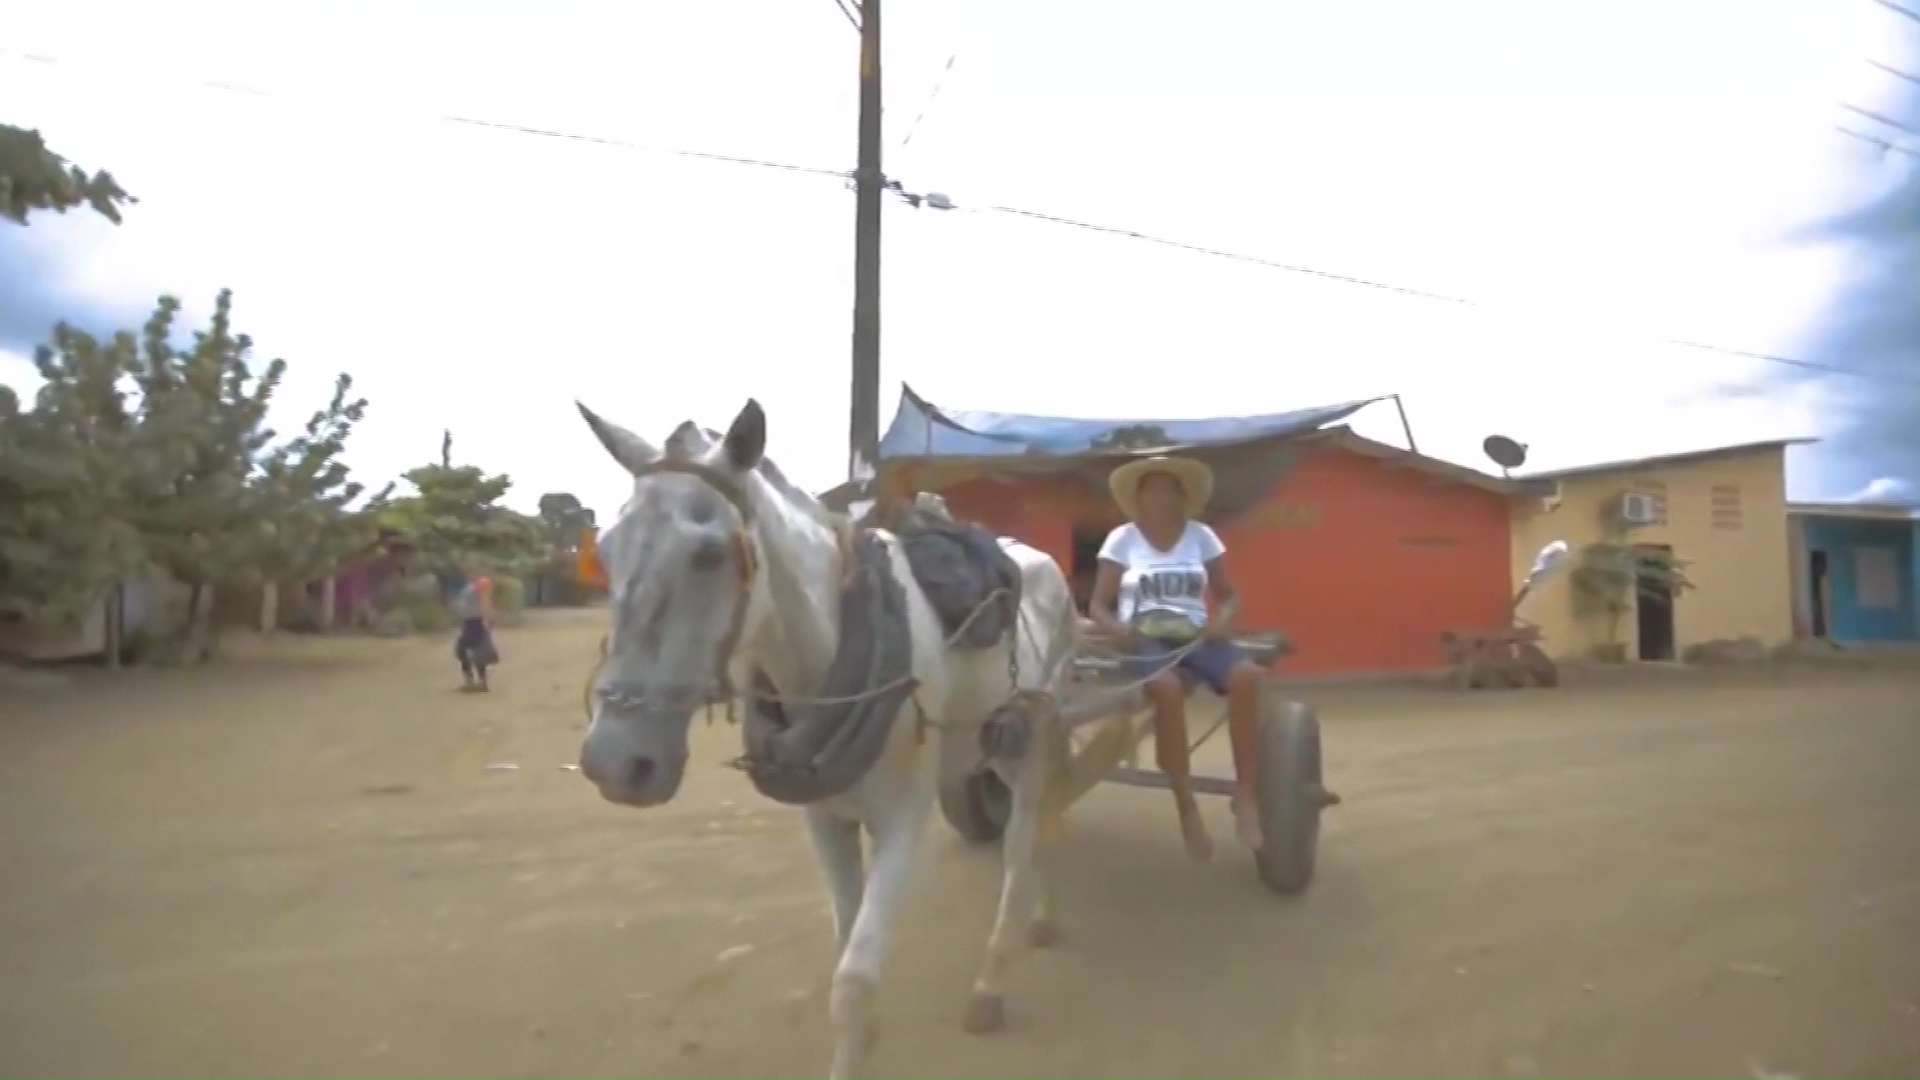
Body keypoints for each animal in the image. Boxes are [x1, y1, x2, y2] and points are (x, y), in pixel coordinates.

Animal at [568, 397, 1082, 1076]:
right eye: (605, 550)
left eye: (709, 554)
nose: (613, 762)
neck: (834, 654)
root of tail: (1035, 555)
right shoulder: (823, 816)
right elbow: (844, 945)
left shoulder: (903, 821)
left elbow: (854, 982)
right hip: (991, 746)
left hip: (1034, 738)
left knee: (1023, 846)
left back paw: (991, 984)